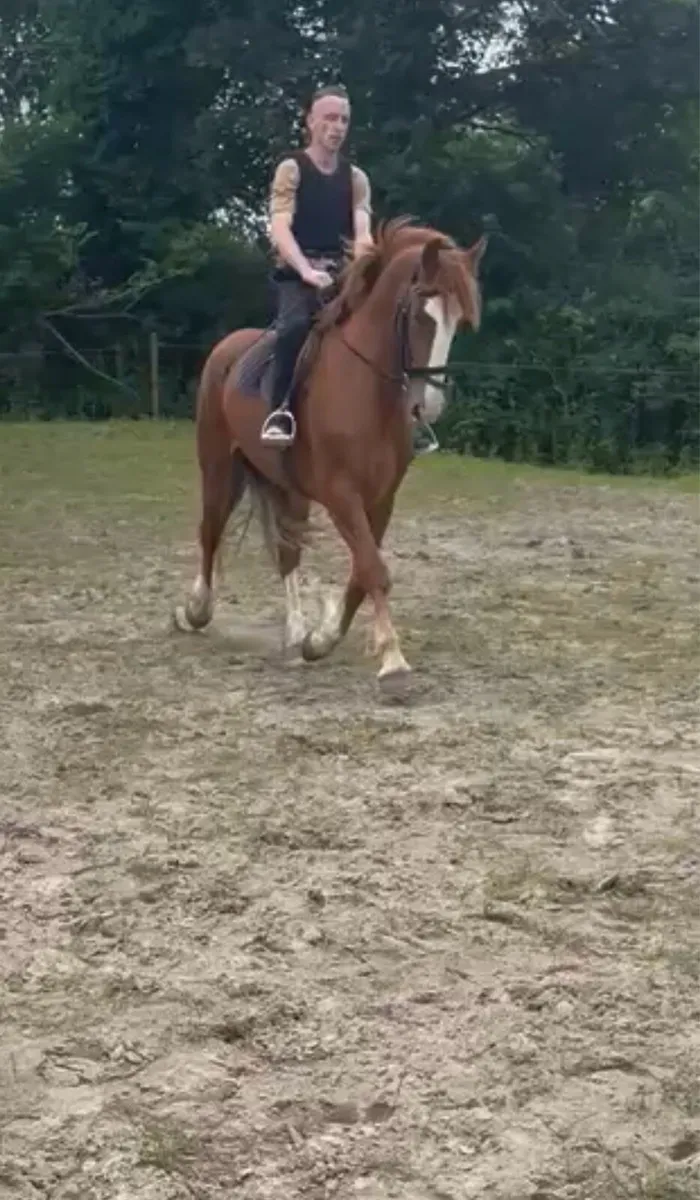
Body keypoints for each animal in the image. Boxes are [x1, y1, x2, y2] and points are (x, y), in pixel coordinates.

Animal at [173, 217, 486, 691]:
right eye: (418, 314)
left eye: (460, 323)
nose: (427, 407)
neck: (365, 387)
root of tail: (227, 349)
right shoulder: (341, 495)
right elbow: (374, 569)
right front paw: (393, 661)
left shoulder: (381, 498)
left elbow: (362, 572)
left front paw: (321, 640)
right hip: (218, 467)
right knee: (210, 532)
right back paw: (196, 611)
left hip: (287, 487)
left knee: (287, 551)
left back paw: (296, 630)